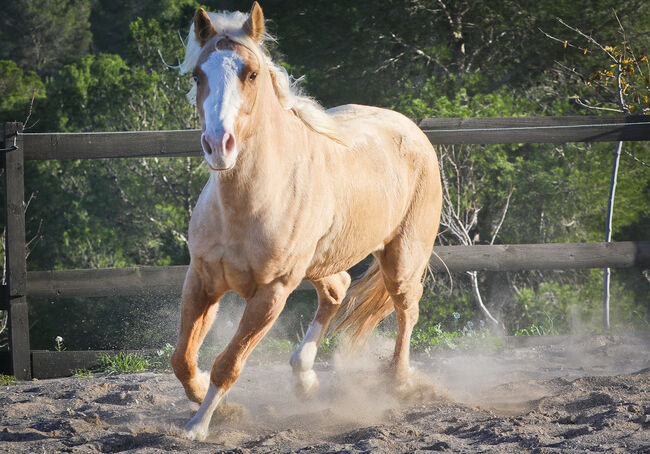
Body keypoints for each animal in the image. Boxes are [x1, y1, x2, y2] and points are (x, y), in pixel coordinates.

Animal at [168, 1, 440, 442]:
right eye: (197, 75)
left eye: (251, 73)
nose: (218, 145)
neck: (246, 205)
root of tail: (411, 129)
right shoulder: (203, 280)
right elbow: (183, 359)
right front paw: (214, 409)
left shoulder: (272, 293)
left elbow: (229, 364)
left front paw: (199, 426)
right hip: (321, 262)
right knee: (338, 288)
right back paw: (305, 378)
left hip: (401, 259)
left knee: (406, 308)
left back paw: (398, 382)